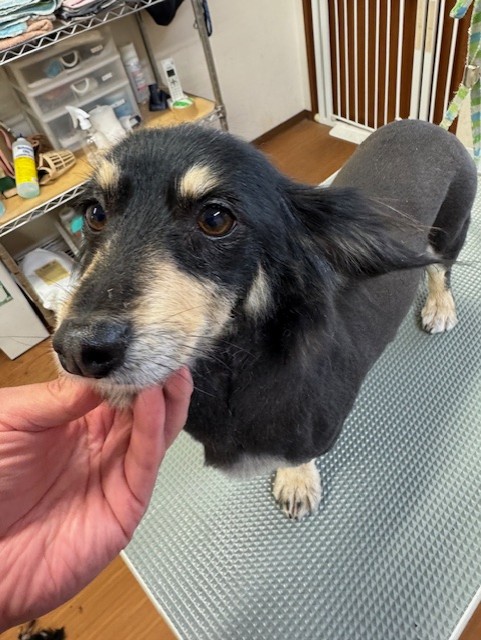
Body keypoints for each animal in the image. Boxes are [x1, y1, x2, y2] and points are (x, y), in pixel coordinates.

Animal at [53, 119, 477, 520]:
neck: (235, 366)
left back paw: (440, 306)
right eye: (94, 213)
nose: (76, 350)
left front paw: (296, 480)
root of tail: (433, 127)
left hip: (451, 229)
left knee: (439, 270)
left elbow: (296, 454)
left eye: (215, 218)